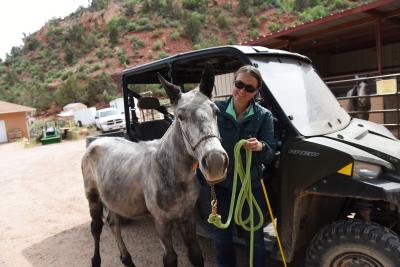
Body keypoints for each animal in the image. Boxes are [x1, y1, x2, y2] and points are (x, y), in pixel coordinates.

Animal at [81, 65, 227, 267]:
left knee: (113, 223)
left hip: (113, 199)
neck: (171, 170)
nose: (215, 162)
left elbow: (196, 254)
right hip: (93, 197)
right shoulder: (161, 221)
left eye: (216, 111)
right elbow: (170, 258)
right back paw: (96, 261)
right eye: (180, 116)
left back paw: (127, 259)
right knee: (96, 227)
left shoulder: (187, 217)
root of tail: (95, 142)